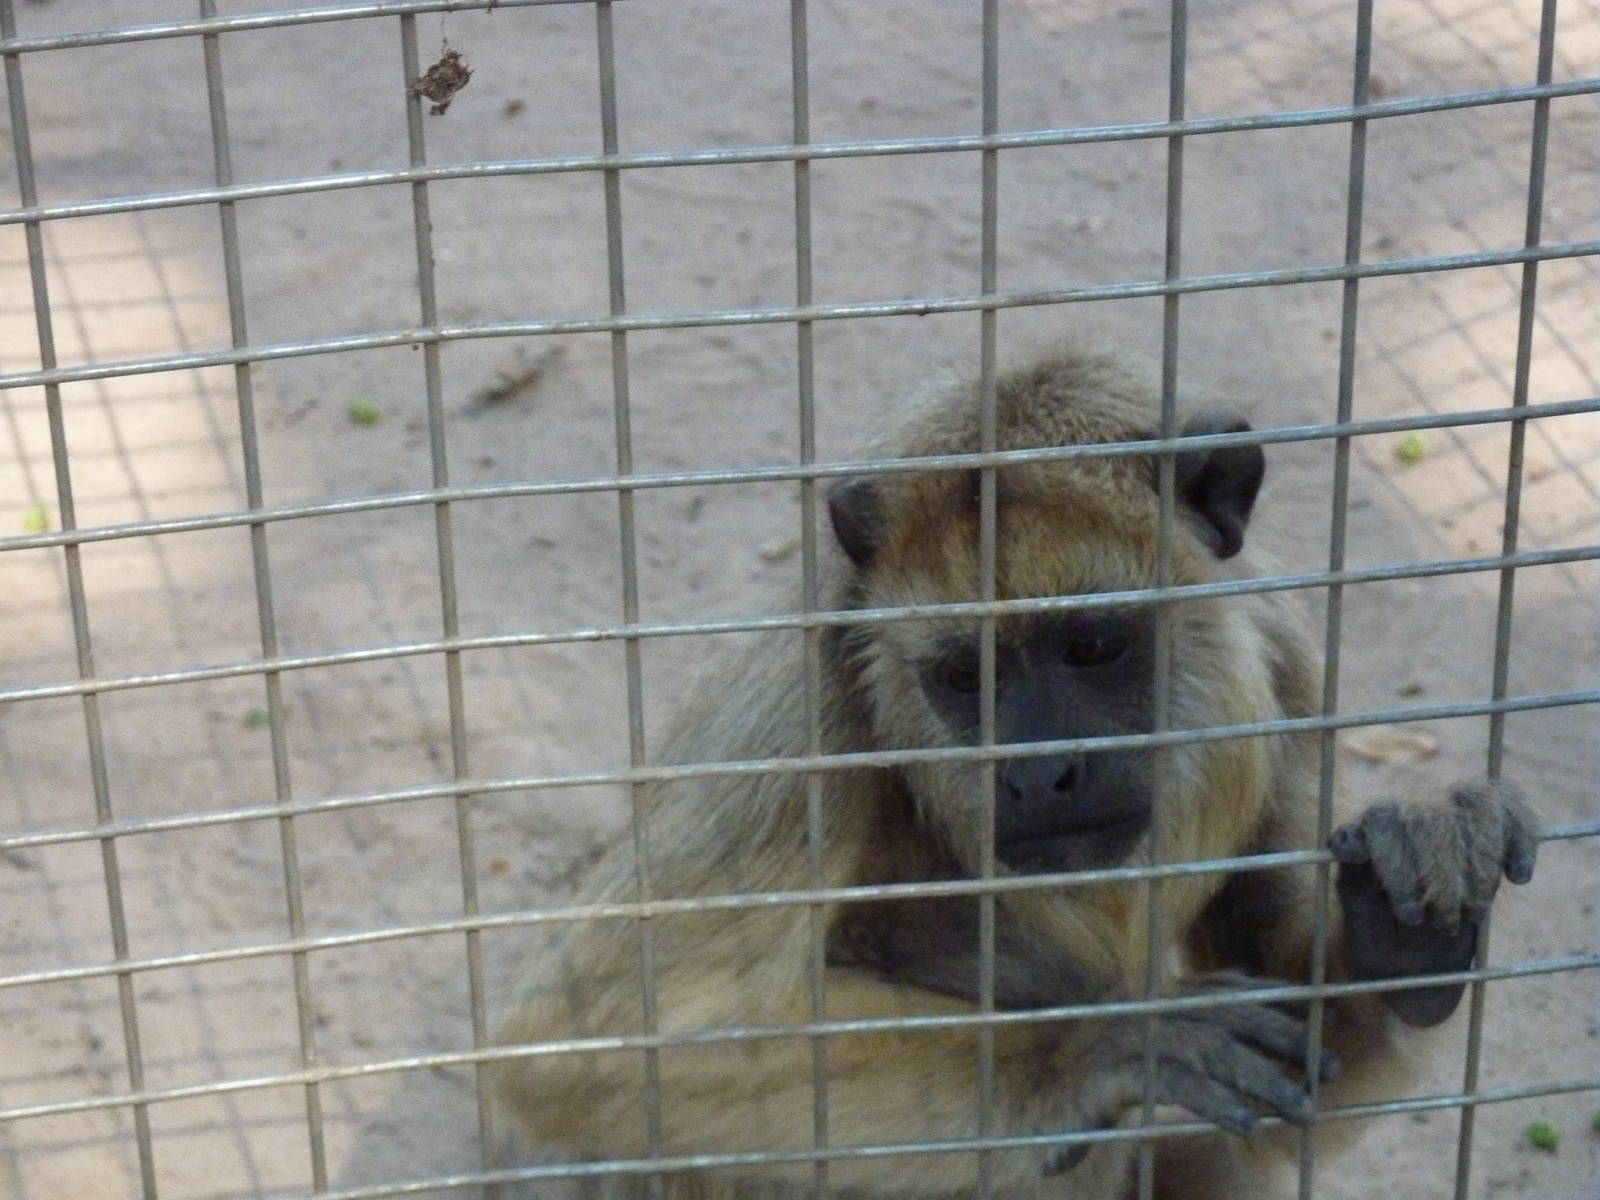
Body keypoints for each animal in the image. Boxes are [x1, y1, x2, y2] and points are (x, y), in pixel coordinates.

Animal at [491, 342, 1539, 1198]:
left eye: (1093, 647)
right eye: (967, 678)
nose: (1039, 776)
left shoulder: (1285, 655)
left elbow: (1299, 1060)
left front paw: (1403, 933)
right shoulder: (811, 692)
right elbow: (585, 1043)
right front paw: (1085, 1052)